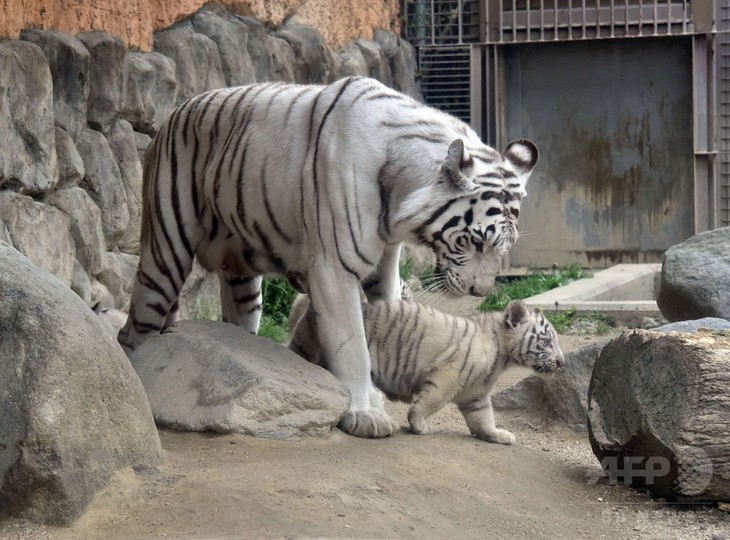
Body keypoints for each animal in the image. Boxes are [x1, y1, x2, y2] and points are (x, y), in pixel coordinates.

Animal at [116, 76, 536, 438]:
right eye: (475, 241)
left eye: (504, 246)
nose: (481, 293)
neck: (399, 191)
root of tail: (173, 113)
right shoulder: (334, 266)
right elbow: (353, 345)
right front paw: (365, 413)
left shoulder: (385, 263)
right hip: (165, 248)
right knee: (136, 328)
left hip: (243, 276)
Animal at [290, 298, 564, 446]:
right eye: (547, 342)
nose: (562, 363)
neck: (502, 355)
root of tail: (308, 309)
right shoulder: (448, 376)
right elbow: (429, 403)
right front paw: (419, 425)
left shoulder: (476, 395)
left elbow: (484, 419)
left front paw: (499, 435)